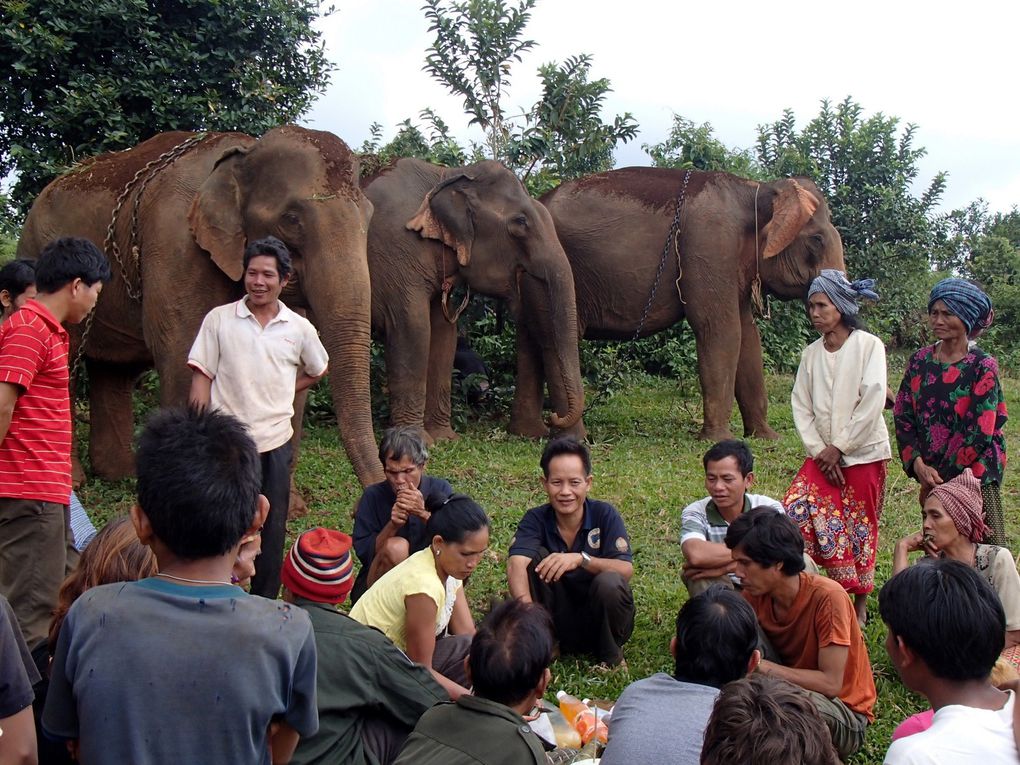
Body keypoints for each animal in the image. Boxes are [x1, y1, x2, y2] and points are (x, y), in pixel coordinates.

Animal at [17, 123, 383, 487]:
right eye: (291, 219)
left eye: (368, 218)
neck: (243, 152)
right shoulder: (174, 241)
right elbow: (184, 357)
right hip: (38, 258)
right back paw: (71, 481)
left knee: (114, 370)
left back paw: (120, 473)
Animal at [361, 157, 583, 442]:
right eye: (520, 223)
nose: (553, 416)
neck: (446, 175)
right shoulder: (396, 252)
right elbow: (413, 327)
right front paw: (419, 441)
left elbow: (444, 332)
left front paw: (444, 439)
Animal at [505, 169, 848, 442]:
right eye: (817, 240)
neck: (756, 188)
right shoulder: (710, 244)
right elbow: (720, 330)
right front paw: (717, 441)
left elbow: (748, 337)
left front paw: (766, 438)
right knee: (552, 339)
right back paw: (573, 439)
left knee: (530, 339)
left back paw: (528, 433)